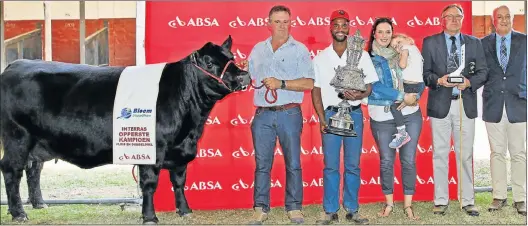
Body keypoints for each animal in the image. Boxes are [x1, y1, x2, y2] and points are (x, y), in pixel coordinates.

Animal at [0, 35, 250, 224]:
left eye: (232, 58)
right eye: (209, 63)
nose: (243, 76)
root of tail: (16, 64)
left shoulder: (181, 151)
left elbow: (179, 181)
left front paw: (185, 210)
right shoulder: (151, 150)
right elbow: (149, 184)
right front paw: (149, 217)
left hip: (38, 142)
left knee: (33, 170)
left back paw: (38, 204)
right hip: (17, 137)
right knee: (12, 170)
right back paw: (19, 213)